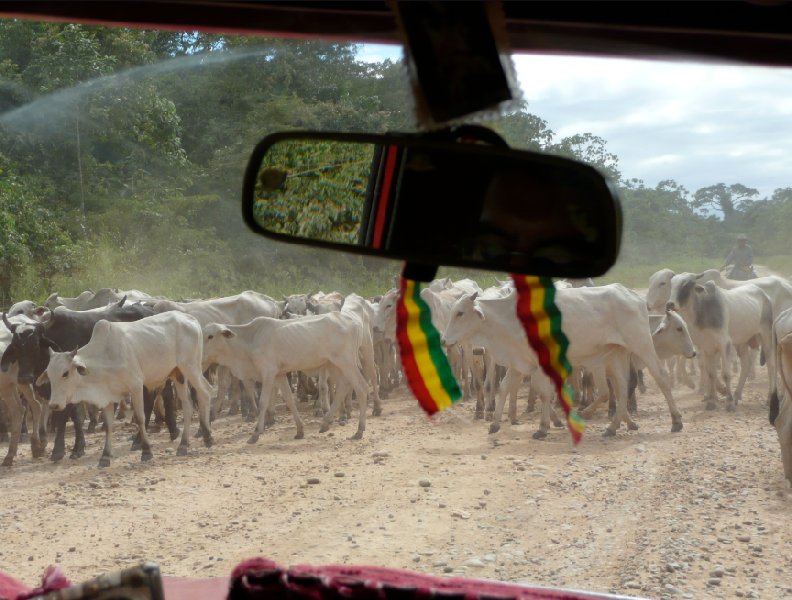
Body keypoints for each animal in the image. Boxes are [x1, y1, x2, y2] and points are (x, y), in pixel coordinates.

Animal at [37, 312, 213, 466]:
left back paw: (208, 437)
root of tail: (190, 318)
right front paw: (105, 457)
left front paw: (146, 452)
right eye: (49, 375)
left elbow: (140, 418)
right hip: (178, 374)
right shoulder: (108, 395)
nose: (54, 405)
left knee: (205, 392)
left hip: (191, 367)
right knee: (188, 404)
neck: (105, 357)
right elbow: (108, 425)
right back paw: (183, 445)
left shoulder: (136, 386)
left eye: (65, 373)